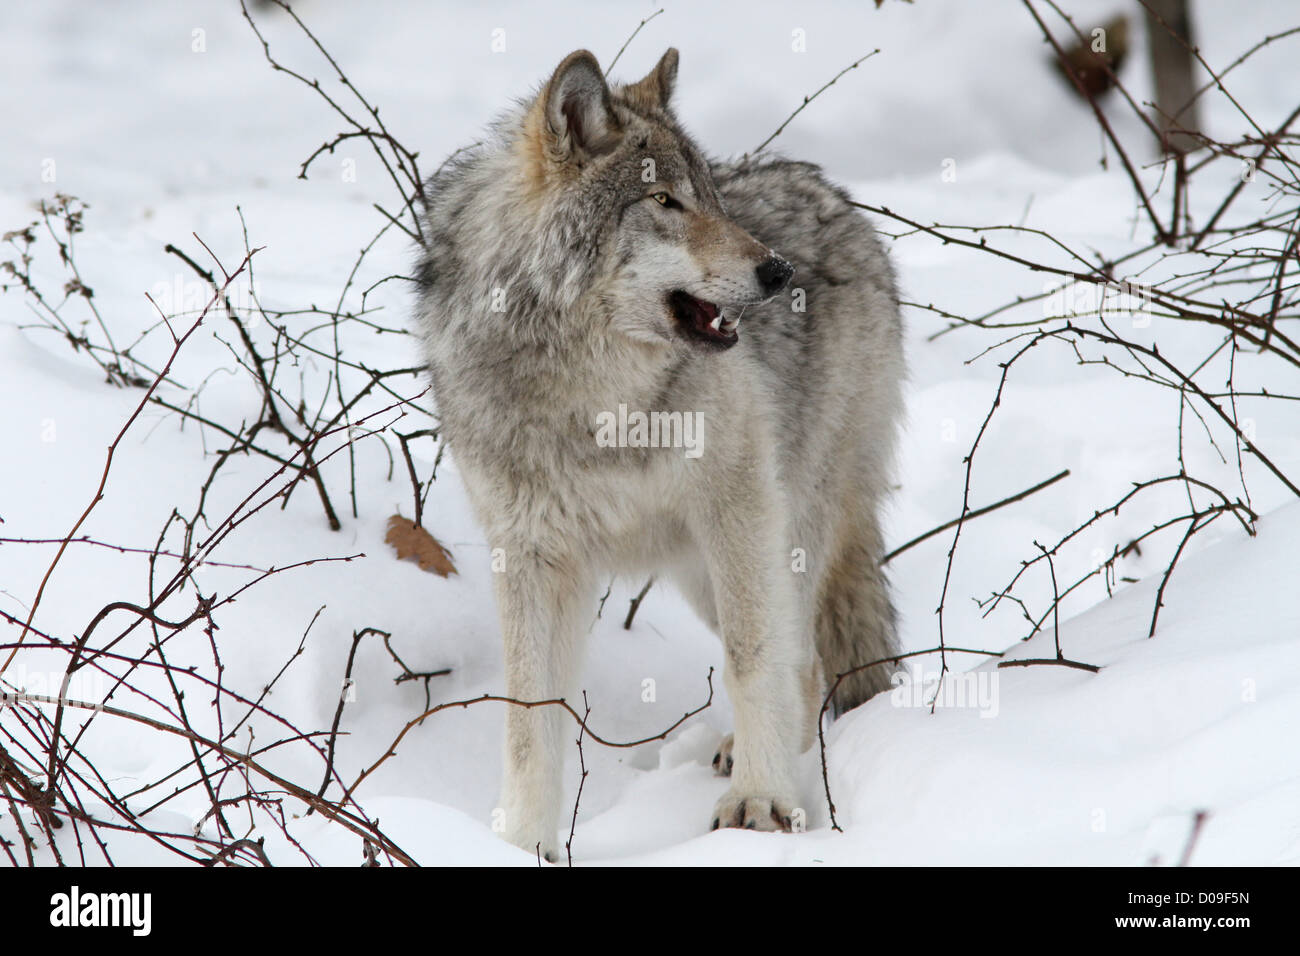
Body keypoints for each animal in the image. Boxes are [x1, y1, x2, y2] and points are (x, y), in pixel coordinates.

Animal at [416, 48, 904, 863]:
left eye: (710, 197)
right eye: (666, 202)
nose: (777, 272)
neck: (593, 401)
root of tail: (835, 197)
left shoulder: (739, 509)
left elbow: (754, 657)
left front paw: (761, 804)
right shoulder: (532, 556)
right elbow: (528, 720)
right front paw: (519, 843)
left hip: (778, 537)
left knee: (800, 661)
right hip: (700, 571)